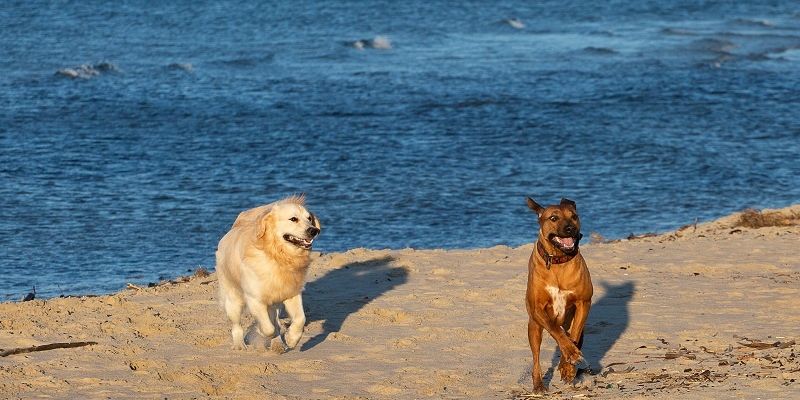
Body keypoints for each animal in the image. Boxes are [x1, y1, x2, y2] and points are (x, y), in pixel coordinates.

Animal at [217, 195, 324, 352]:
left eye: (309, 218)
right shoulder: (255, 299)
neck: (277, 256)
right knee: (237, 325)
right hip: (233, 299)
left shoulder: (291, 293)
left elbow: (300, 319)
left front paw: (291, 339)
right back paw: (239, 345)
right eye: (293, 219)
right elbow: (268, 328)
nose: (314, 231)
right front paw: (262, 332)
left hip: (275, 303)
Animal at [524, 197, 592, 394]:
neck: (558, 261)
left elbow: (573, 335)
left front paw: (568, 366)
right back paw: (538, 385)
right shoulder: (538, 309)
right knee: (536, 357)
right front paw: (570, 354)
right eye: (553, 218)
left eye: (574, 216)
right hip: (533, 327)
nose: (570, 229)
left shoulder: (584, 302)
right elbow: (556, 330)